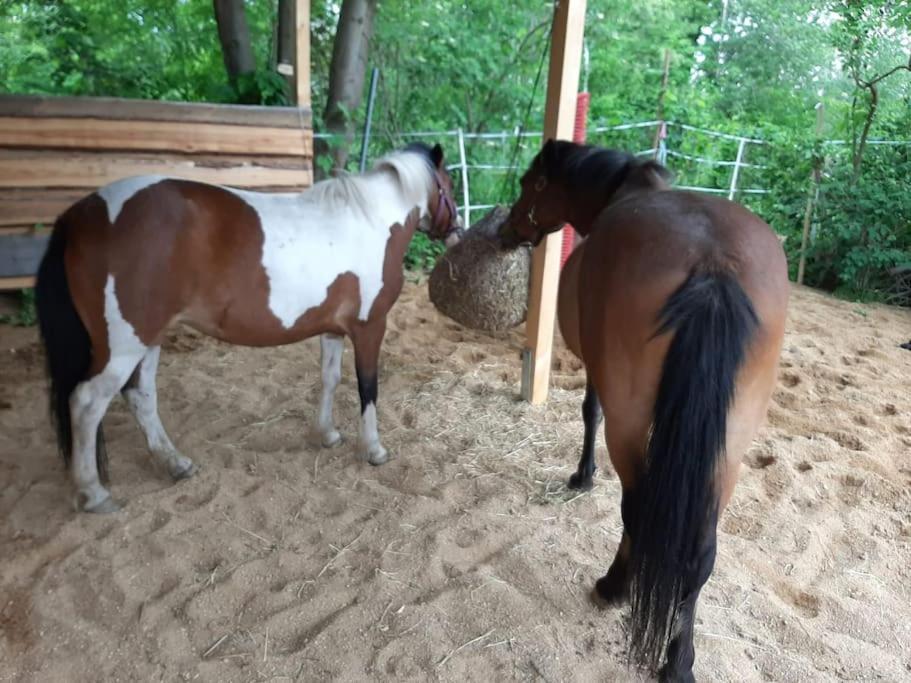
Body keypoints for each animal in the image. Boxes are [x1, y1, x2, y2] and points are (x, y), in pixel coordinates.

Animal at [33, 143, 464, 512]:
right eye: (449, 185)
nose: (457, 229)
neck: (371, 220)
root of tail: (79, 215)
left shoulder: (333, 329)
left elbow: (329, 378)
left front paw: (325, 434)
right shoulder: (370, 325)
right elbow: (368, 387)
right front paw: (373, 449)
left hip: (148, 338)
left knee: (140, 396)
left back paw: (174, 462)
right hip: (123, 346)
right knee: (86, 403)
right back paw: (94, 492)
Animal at [498, 140, 792, 683]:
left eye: (530, 183)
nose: (511, 228)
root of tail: (713, 265)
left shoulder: (598, 374)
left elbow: (589, 413)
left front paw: (582, 476)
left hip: (632, 421)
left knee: (636, 509)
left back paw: (615, 584)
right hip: (729, 445)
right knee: (700, 553)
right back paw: (679, 660)